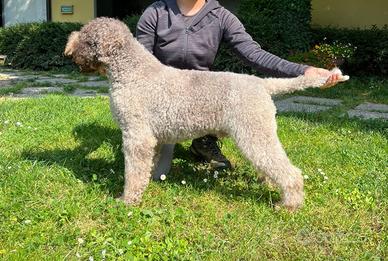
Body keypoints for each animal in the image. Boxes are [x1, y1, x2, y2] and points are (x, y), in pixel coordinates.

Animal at [64, 17, 348, 209]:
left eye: (87, 37)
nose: (69, 50)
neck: (132, 72)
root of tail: (263, 84)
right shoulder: (150, 138)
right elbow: (147, 167)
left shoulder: (136, 136)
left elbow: (133, 173)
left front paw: (127, 199)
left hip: (254, 133)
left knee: (289, 171)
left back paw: (289, 204)